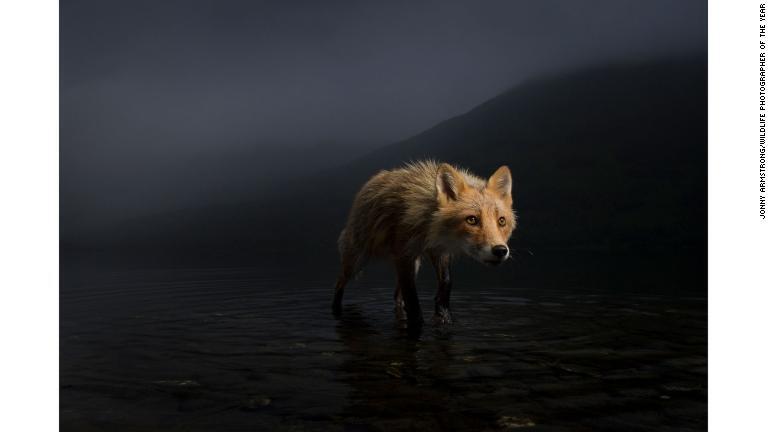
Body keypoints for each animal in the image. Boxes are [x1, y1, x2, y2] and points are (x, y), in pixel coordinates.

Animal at [332, 160, 516, 326]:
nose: (500, 250)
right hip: (356, 262)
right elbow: (413, 299)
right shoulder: (404, 254)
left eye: (501, 221)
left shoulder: (438, 251)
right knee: (339, 283)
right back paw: (336, 311)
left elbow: (446, 282)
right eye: (472, 220)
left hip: (414, 265)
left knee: (397, 295)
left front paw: (443, 315)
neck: (430, 228)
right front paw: (419, 322)